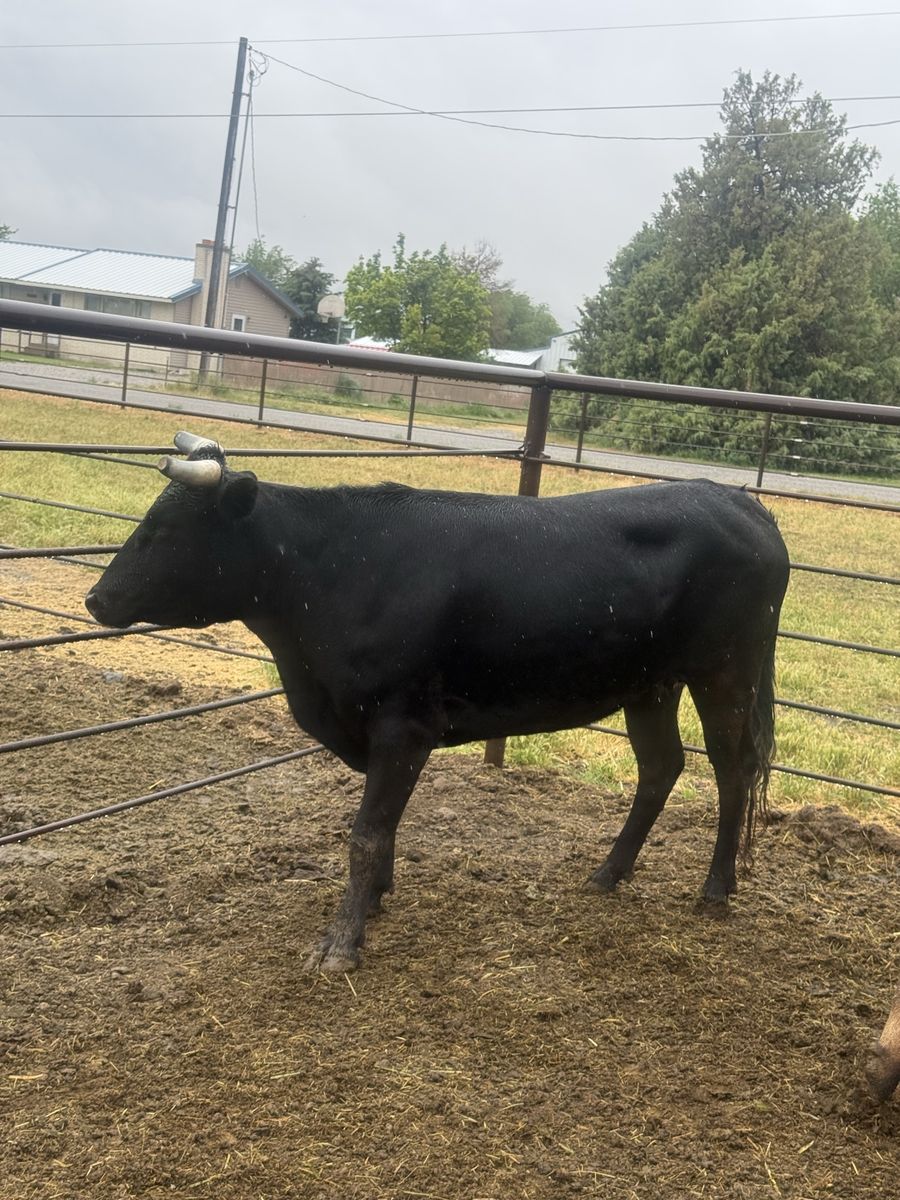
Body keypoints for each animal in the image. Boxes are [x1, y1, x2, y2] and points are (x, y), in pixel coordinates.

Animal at [85, 431, 791, 972]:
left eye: (167, 530)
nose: (96, 599)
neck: (330, 573)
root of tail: (733, 498)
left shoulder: (405, 725)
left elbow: (367, 832)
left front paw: (341, 943)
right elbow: (383, 828)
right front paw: (374, 902)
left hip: (727, 672)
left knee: (731, 770)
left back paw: (716, 888)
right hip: (650, 683)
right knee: (660, 767)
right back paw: (607, 873)